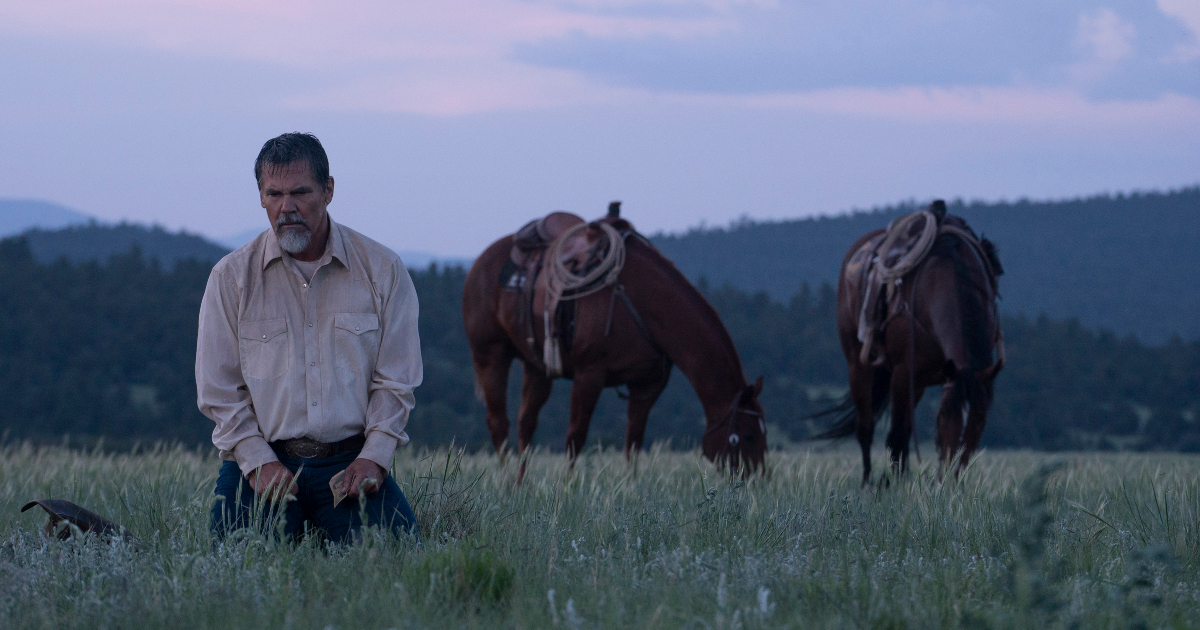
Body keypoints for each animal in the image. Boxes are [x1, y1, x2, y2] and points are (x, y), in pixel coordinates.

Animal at [463, 204, 763, 475]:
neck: (641, 301)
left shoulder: (646, 385)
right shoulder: (589, 375)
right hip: (490, 355)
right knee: (498, 422)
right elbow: (576, 437)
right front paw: (567, 488)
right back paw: (505, 482)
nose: (757, 479)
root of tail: (480, 261)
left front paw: (631, 487)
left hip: (536, 365)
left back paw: (520, 485)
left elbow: (634, 442)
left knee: (526, 422)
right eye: (748, 435)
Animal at [816, 201, 1003, 482]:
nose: (950, 479)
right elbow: (894, 437)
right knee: (866, 428)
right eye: (943, 415)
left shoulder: (923, 377)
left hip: (920, 382)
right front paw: (890, 485)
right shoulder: (903, 373)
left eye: (980, 422)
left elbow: (902, 435)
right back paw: (867, 482)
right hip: (859, 366)